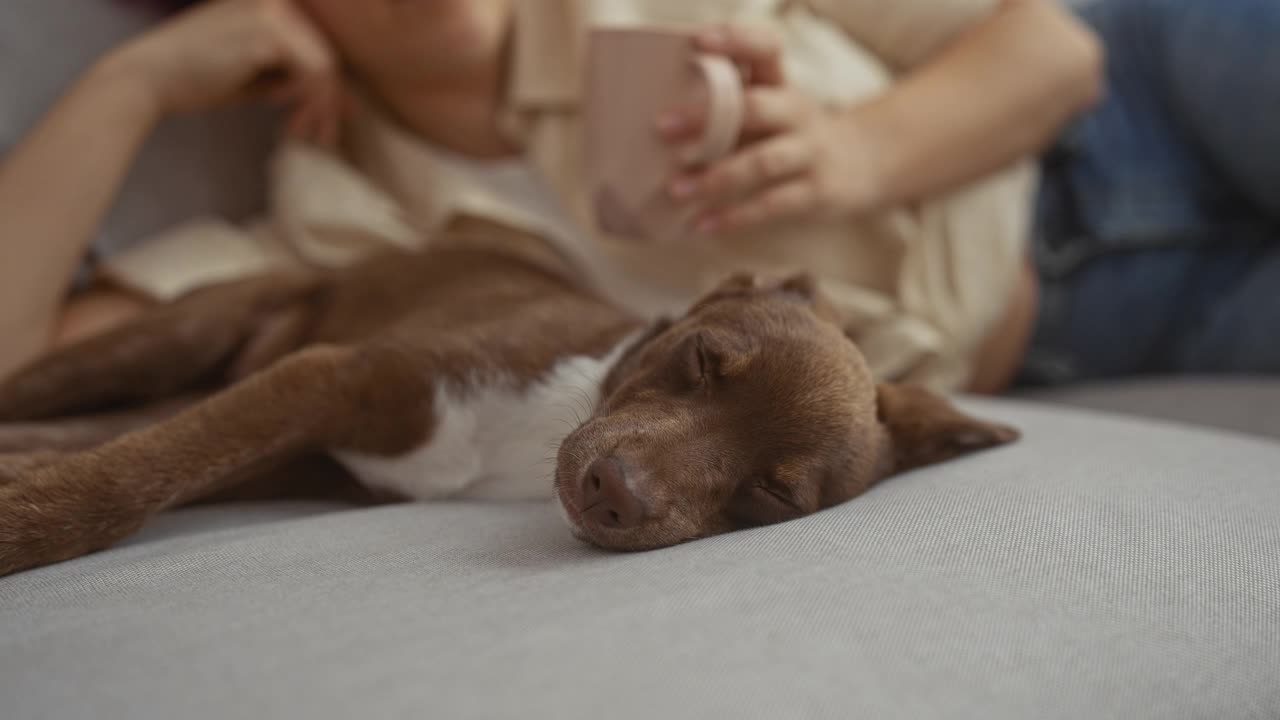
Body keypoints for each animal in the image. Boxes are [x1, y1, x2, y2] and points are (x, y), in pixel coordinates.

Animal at [0, 221, 1018, 573]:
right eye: (698, 361)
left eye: (771, 494)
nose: (612, 493)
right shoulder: (329, 377)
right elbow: (130, 481)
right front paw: (26, 530)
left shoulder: (298, 444)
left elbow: (151, 457)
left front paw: (22, 490)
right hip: (170, 338)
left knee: (83, 425)